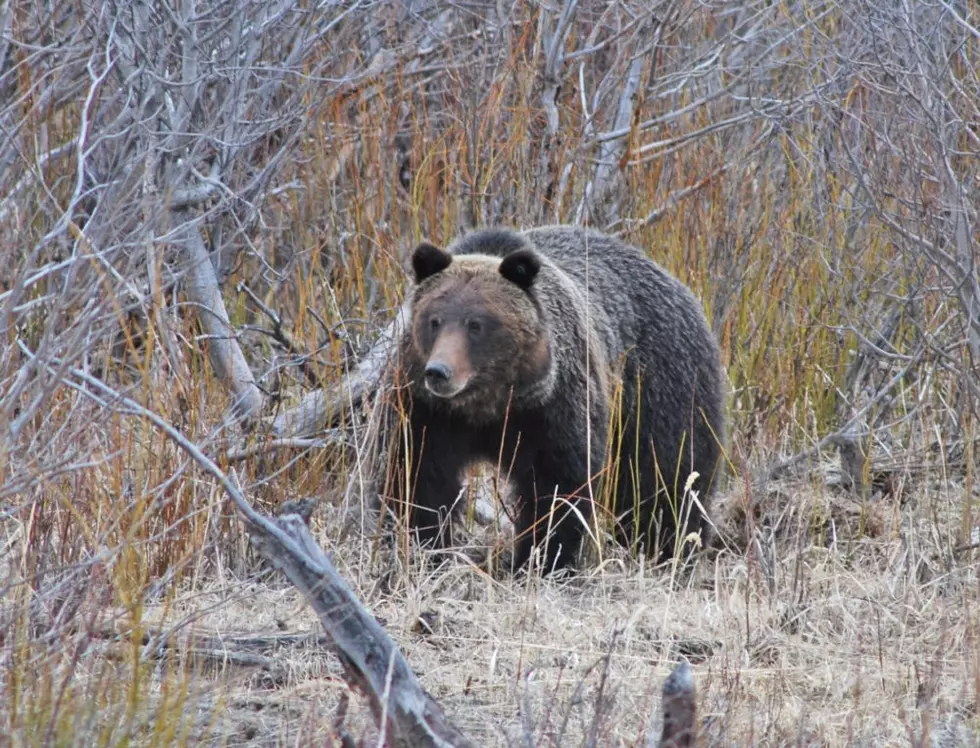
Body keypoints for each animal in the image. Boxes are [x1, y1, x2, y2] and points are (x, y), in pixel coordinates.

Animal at [382, 225, 728, 568]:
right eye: (434, 320)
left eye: (476, 324)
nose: (439, 371)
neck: (488, 405)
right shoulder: (427, 413)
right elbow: (417, 477)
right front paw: (420, 546)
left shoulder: (553, 410)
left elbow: (557, 487)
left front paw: (544, 558)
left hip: (661, 387)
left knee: (667, 477)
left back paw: (670, 548)